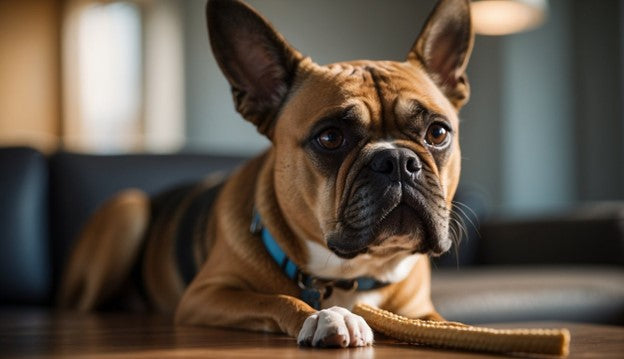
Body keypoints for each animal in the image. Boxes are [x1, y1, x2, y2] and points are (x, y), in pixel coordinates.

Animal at [61, 0, 476, 350]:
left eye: (438, 133)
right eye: (330, 137)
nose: (396, 161)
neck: (352, 271)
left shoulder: (419, 313)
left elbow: (447, 325)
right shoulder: (205, 295)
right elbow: (278, 298)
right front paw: (325, 317)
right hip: (127, 210)